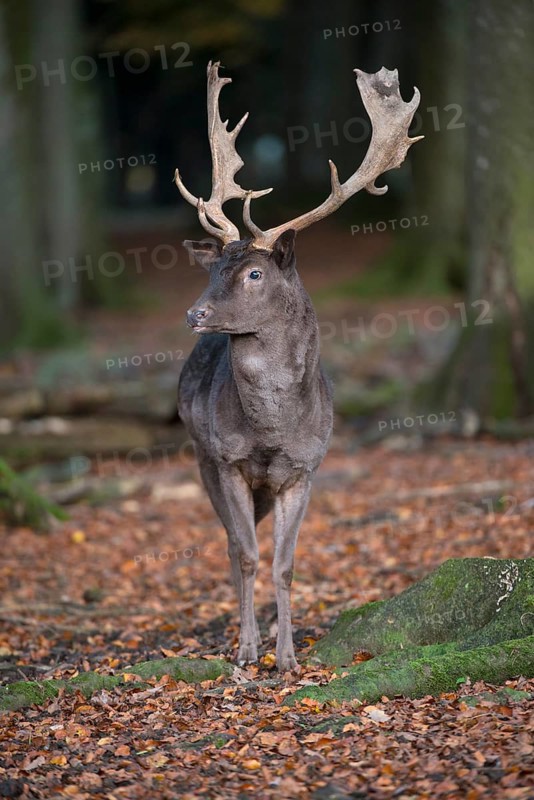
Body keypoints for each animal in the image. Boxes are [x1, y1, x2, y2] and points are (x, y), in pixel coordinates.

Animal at [175, 62, 422, 672]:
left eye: (254, 273)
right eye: (213, 269)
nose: (196, 313)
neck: (272, 428)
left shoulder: (306, 469)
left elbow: (284, 564)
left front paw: (286, 656)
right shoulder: (227, 460)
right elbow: (246, 554)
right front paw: (247, 651)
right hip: (200, 454)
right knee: (229, 543)